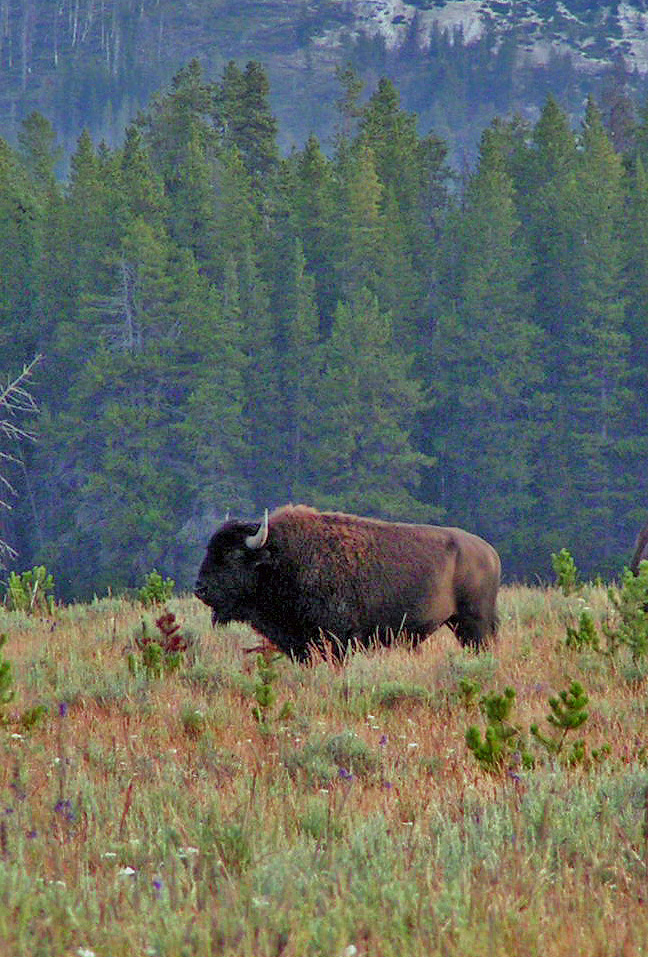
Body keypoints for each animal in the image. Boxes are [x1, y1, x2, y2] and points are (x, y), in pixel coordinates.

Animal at [192, 504, 502, 660]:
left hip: (474, 624)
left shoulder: (336, 639)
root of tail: (490, 552)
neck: (280, 559)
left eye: (233, 555)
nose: (200, 589)